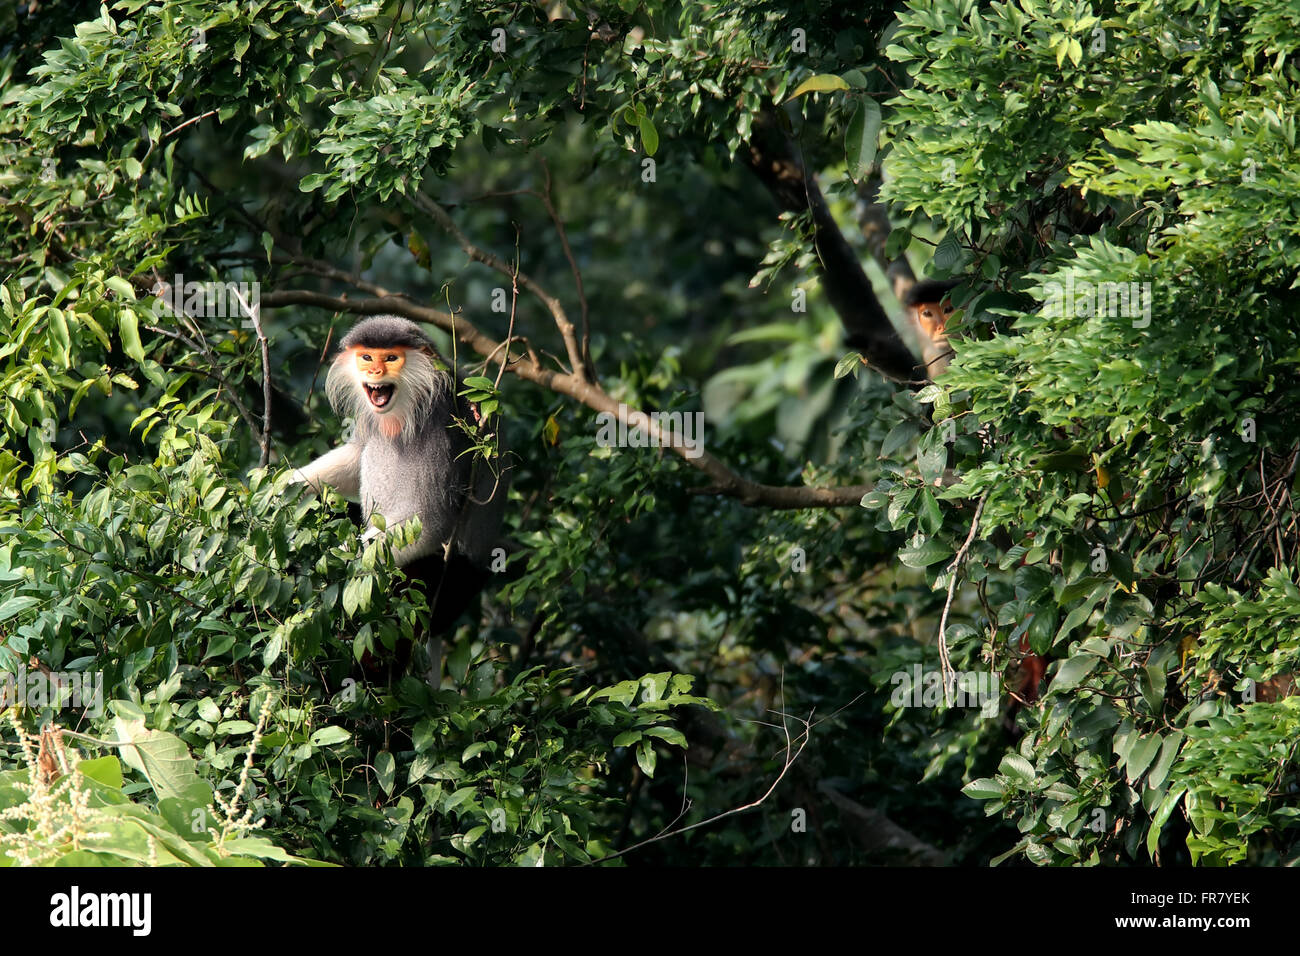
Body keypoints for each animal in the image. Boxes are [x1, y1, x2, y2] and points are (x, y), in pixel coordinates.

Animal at [292, 316, 509, 671]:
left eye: (391, 358)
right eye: (367, 357)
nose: (375, 371)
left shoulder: (442, 427)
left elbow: (432, 525)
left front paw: (331, 560)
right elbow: (356, 455)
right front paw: (283, 486)